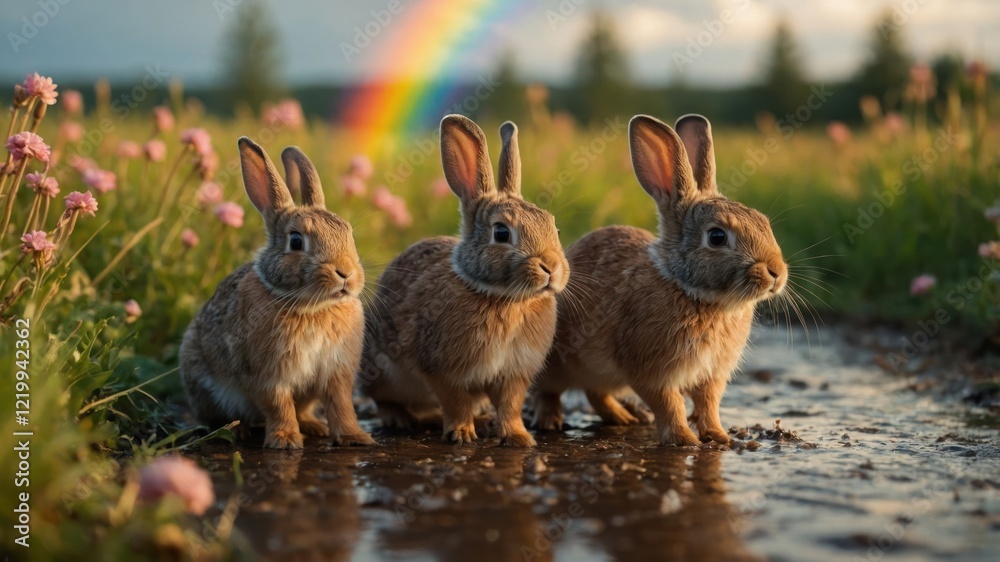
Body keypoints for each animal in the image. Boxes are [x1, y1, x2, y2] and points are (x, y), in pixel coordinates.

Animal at [180, 136, 374, 449]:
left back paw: (314, 426)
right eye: (296, 241)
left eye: (348, 233)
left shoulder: (337, 372)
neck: (312, 306)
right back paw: (238, 430)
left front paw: (355, 437)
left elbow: (341, 404)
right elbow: (278, 404)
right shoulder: (268, 374)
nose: (346, 273)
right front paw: (284, 441)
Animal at [358, 115, 569, 447]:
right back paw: (399, 419)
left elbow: (510, 406)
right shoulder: (441, 370)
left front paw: (519, 438)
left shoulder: (514, 374)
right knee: (381, 398)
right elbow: (456, 402)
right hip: (381, 370)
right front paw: (461, 434)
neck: (504, 298)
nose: (551, 267)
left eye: (554, 229)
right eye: (501, 233)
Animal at [530, 114, 787, 446]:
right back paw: (551, 421)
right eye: (717, 237)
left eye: (764, 223)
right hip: (558, 362)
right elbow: (670, 403)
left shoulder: (712, 375)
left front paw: (718, 437)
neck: (693, 292)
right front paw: (685, 439)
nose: (777, 272)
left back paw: (625, 417)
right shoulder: (652, 372)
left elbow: (708, 403)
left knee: (595, 392)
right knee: (548, 389)